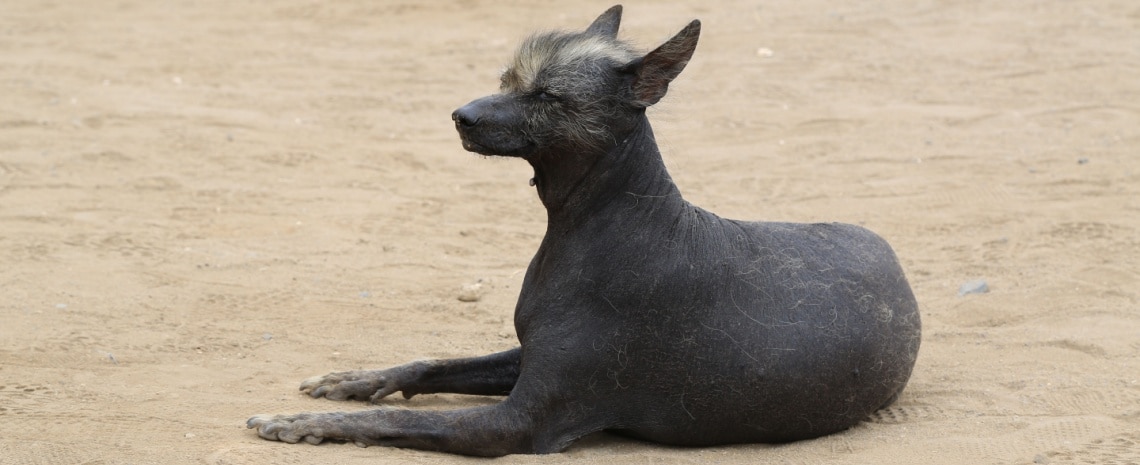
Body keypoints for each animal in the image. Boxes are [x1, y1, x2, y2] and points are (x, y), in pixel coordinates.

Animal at [247, 6, 916, 458]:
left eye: (547, 95)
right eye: (508, 79)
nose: (460, 115)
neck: (602, 219)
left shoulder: (517, 424)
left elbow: (399, 423)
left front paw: (304, 425)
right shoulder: (526, 355)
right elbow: (430, 363)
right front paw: (355, 380)